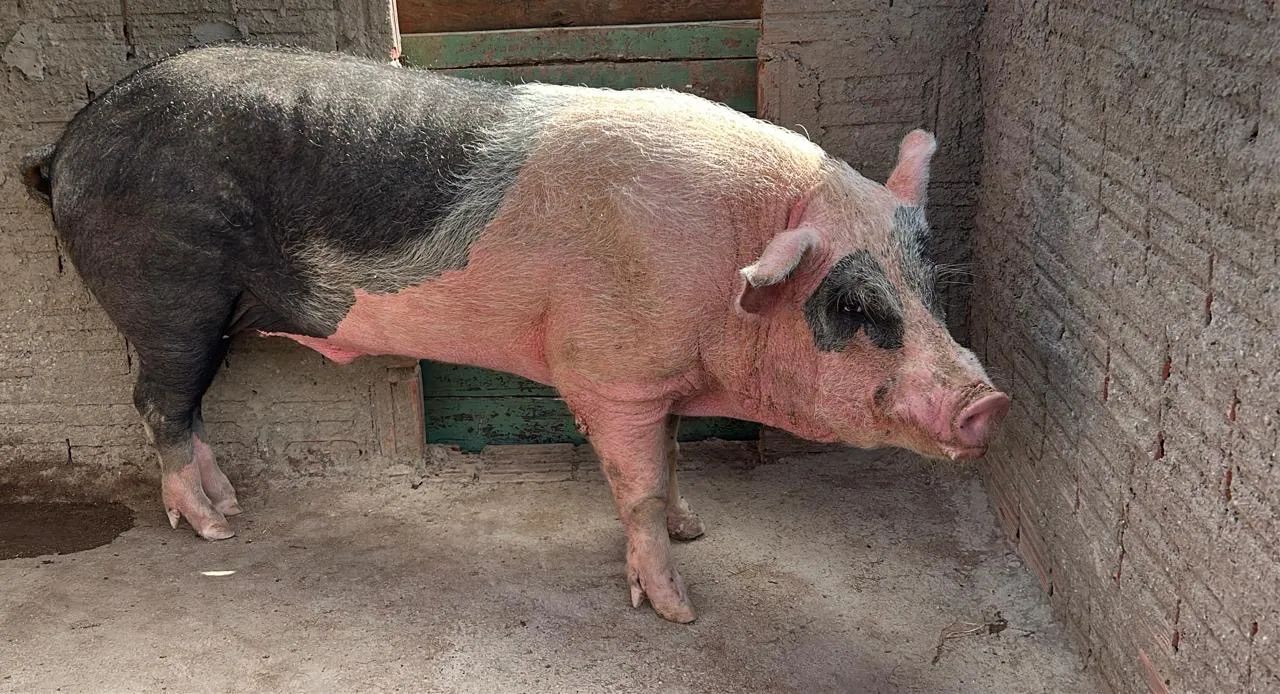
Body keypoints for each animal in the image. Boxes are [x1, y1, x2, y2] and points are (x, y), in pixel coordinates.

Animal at [22, 46, 1008, 622]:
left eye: (926, 285)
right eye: (856, 309)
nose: (989, 400)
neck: (727, 264)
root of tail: (66, 145)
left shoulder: (655, 381)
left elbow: (672, 460)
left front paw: (694, 531)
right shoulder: (607, 371)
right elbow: (637, 485)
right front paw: (679, 609)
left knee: (182, 410)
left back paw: (228, 508)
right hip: (169, 292)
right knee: (160, 403)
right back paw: (218, 532)